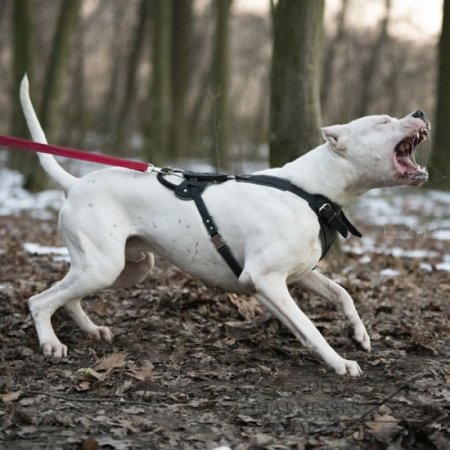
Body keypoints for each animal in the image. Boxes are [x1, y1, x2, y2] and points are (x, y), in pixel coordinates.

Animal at [20, 78, 428, 376]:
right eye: (383, 121)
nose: (421, 111)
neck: (312, 190)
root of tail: (75, 183)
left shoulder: (298, 274)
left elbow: (342, 294)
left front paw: (360, 335)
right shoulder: (265, 280)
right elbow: (310, 327)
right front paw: (340, 362)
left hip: (126, 267)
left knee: (68, 294)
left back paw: (89, 329)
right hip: (104, 267)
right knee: (40, 301)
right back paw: (51, 342)